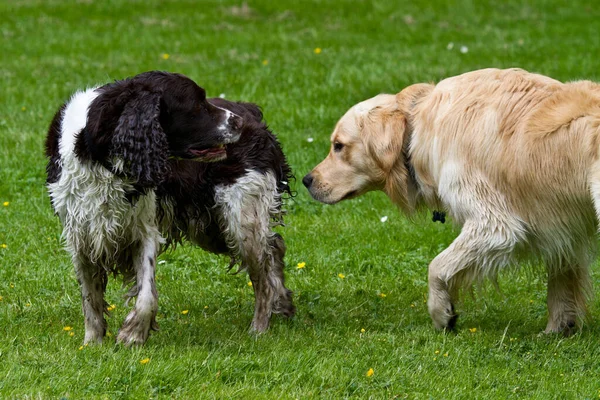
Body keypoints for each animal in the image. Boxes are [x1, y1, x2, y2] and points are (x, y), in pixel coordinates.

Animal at [45, 71, 294, 344]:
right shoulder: (82, 234)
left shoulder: (143, 231)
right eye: (197, 105)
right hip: (213, 227)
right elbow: (90, 297)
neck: (101, 158)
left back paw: (259, 328)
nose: (237, 123)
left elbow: (147, 296)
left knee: (264, 271)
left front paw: (132, 334)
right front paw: (93, 343)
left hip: (240, 219)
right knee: (275, 246)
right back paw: (282, 303)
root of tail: (251, 112)